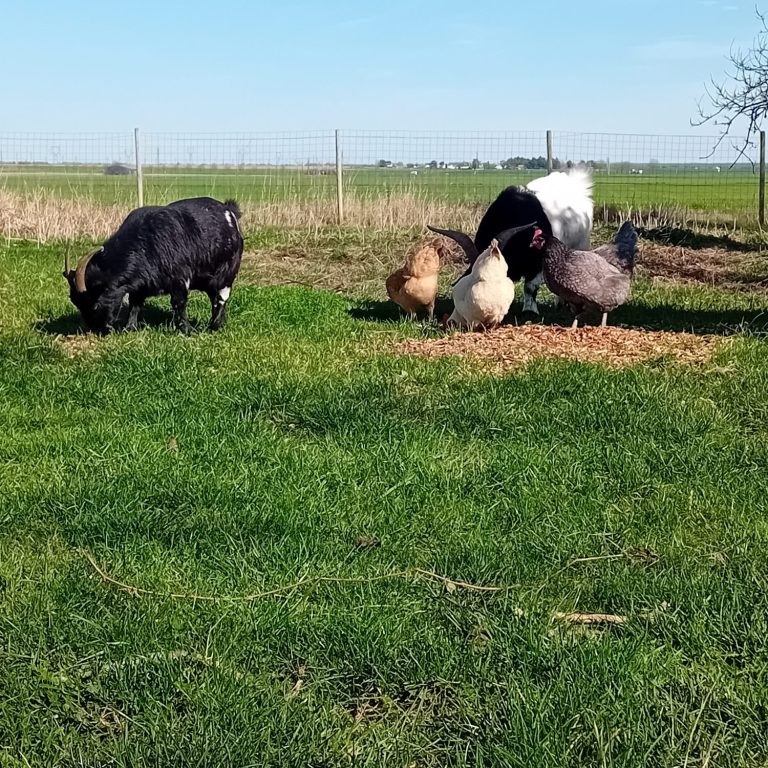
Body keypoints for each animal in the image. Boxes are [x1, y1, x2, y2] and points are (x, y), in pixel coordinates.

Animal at [63, 197, 243, 334]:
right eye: (76, 303)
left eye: (95, 304)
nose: (96, 329)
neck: (145, 243)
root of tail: (229, 210)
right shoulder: (139, 285)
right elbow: (135, 304)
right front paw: (129, 328)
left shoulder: (180, 278)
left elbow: (179, 303)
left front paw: (186, 330)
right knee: (214, 296)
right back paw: (220, 322)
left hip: (227, 271)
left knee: (221, 296)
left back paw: (215, 325)